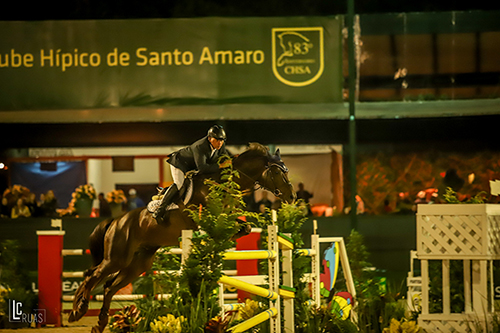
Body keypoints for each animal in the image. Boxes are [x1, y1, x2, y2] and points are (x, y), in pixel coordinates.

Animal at [66, 141, 292, 330]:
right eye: (277, 172)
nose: (291, 196)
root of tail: (116, 221)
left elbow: (244, 228)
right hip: (117, 257)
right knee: (93, 275)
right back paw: (78, 310)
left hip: (139, 263)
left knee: (108, 286)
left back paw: (99, 322)